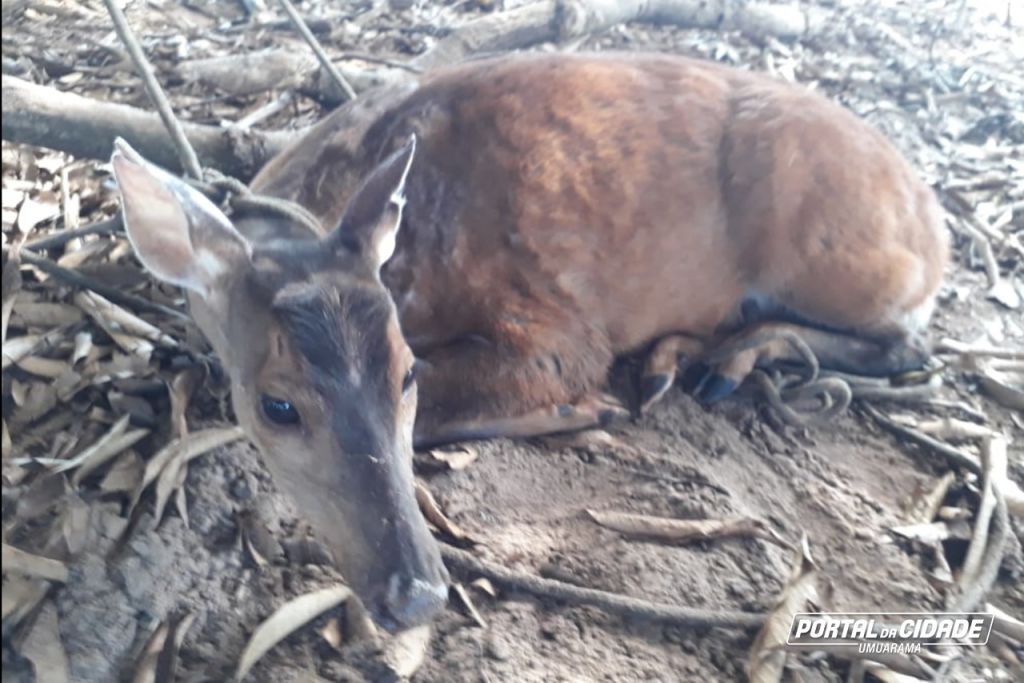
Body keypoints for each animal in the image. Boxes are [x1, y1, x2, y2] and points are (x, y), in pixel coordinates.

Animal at [108, 52, 946, 630]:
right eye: (276, 405)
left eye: (406, 374)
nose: (417, 593)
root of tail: (932, 218)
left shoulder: (557, 322)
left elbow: (512, 382)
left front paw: (586, 407)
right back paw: (677, 362)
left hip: (835, 253)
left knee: (912, 345)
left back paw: (723, 359)